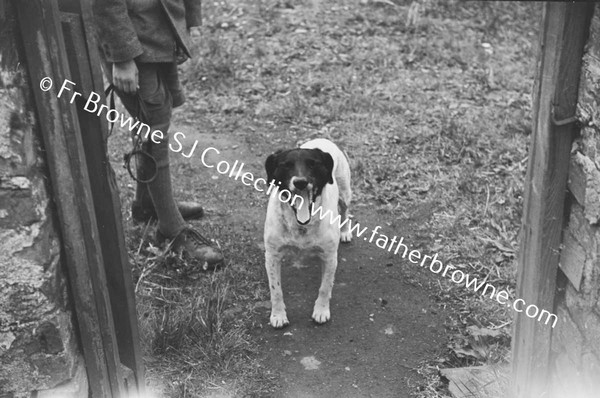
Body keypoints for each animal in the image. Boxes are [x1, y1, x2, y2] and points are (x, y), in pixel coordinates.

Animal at [264, 138, 352, 328]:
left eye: (313, 164)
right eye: (286, 165)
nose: (300, 182)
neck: (302, 225)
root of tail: (323, 139)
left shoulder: (330, 257)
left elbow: (325, 287)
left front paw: (321, 311)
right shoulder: (272, 256)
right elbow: (276, 290)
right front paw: (278, 315)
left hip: (344, 191)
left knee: (345, 210)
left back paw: (345, 232)